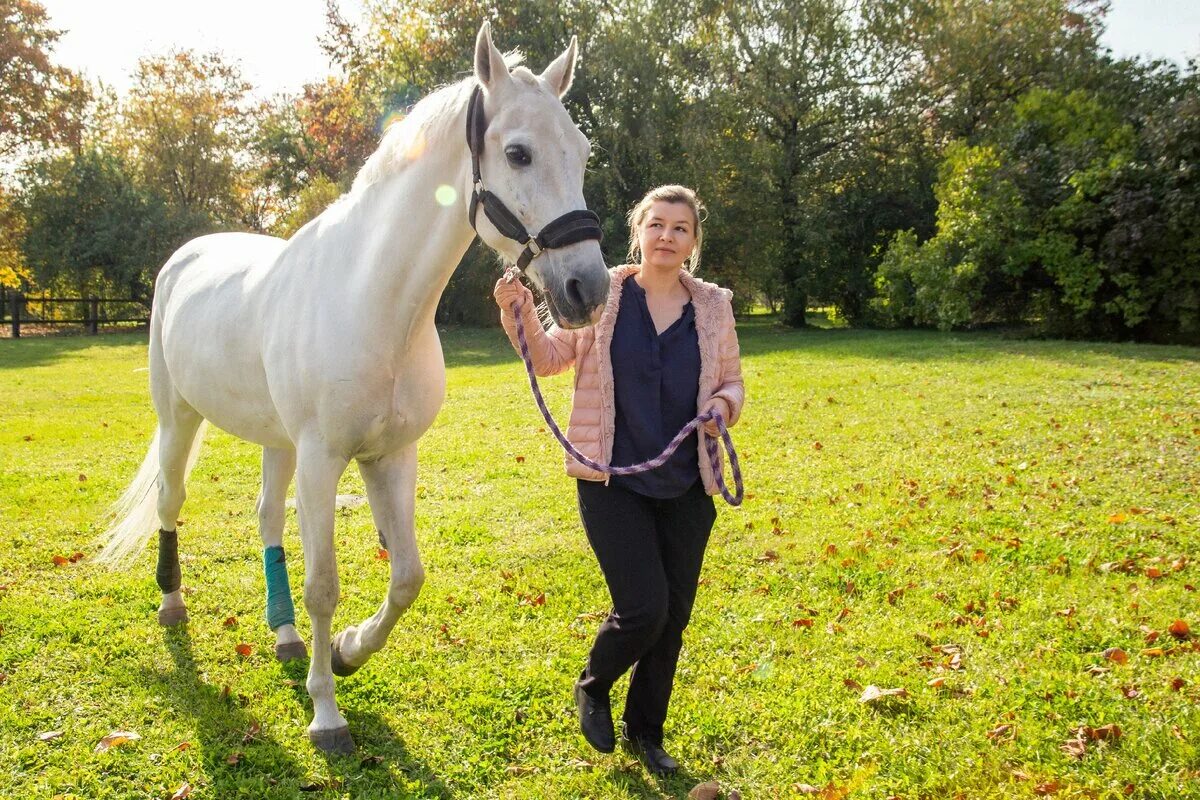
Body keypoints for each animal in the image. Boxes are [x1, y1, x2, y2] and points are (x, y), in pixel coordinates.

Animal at [98, 21, 609, 753]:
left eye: (582, 153)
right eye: (518, 153)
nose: (587, 289)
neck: (375, 304)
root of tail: (184, 258)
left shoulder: (389, 457)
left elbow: (407, 576)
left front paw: (345, 651)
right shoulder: (323, 460)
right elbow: (325, 585)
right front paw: (326, 712)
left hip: (276, 443)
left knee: (265, 516)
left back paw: (284, 635)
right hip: (180, 418)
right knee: (171, 501)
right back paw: (172, 603)